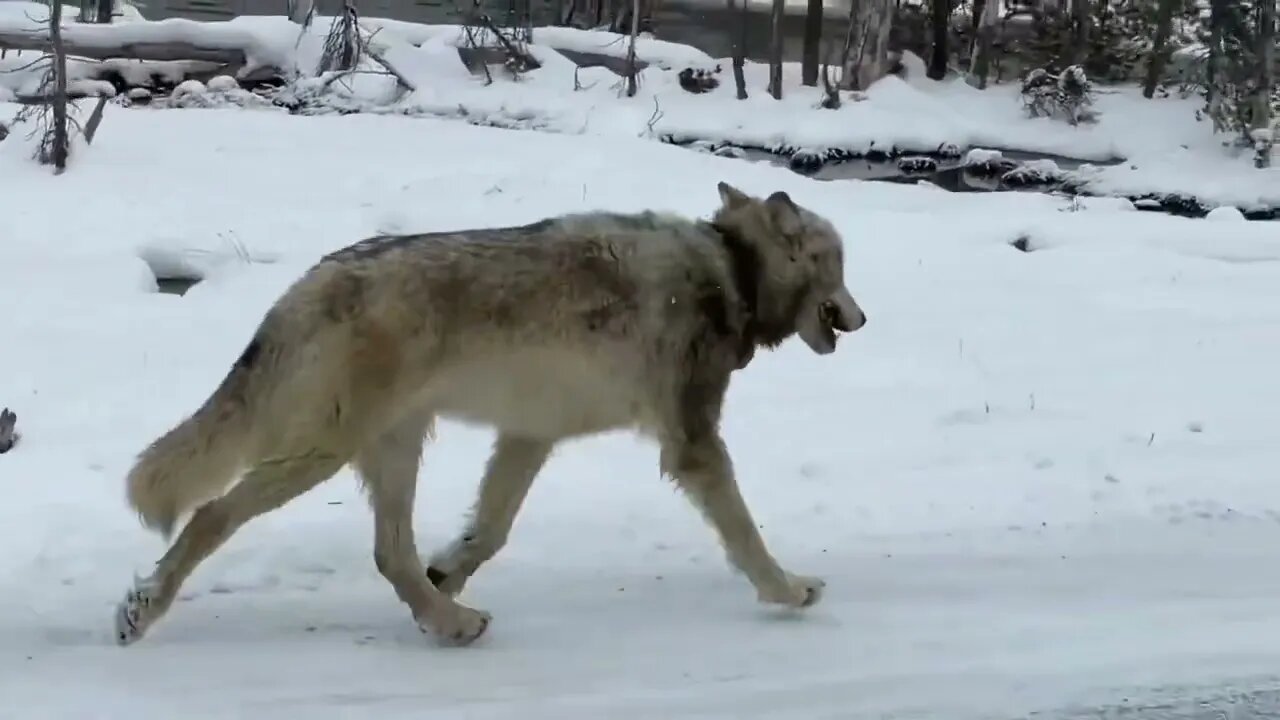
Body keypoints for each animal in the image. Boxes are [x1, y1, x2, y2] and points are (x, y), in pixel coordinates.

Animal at [112, 179, 870, 645]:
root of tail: (308, 282)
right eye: (839, 265)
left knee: (390, 554)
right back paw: (142, 610)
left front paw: (448, 570)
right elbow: (746, 535)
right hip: (321, 454)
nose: (863, 319)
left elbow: (489, 533)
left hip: (393, 449)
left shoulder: (529, 437)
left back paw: (448, 619)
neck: (730, 269)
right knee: (212, 515)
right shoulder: (691, 445)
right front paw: (788, 590)